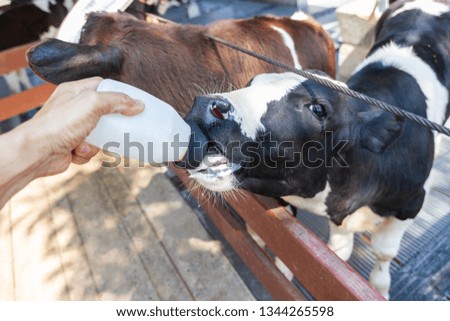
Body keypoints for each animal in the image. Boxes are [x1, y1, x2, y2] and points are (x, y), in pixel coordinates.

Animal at [180, 0, 450, 298]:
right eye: (251, 82)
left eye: (318, 109)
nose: (206, 108)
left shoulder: (412, 200)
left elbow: (383, 251)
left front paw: (381, 288)